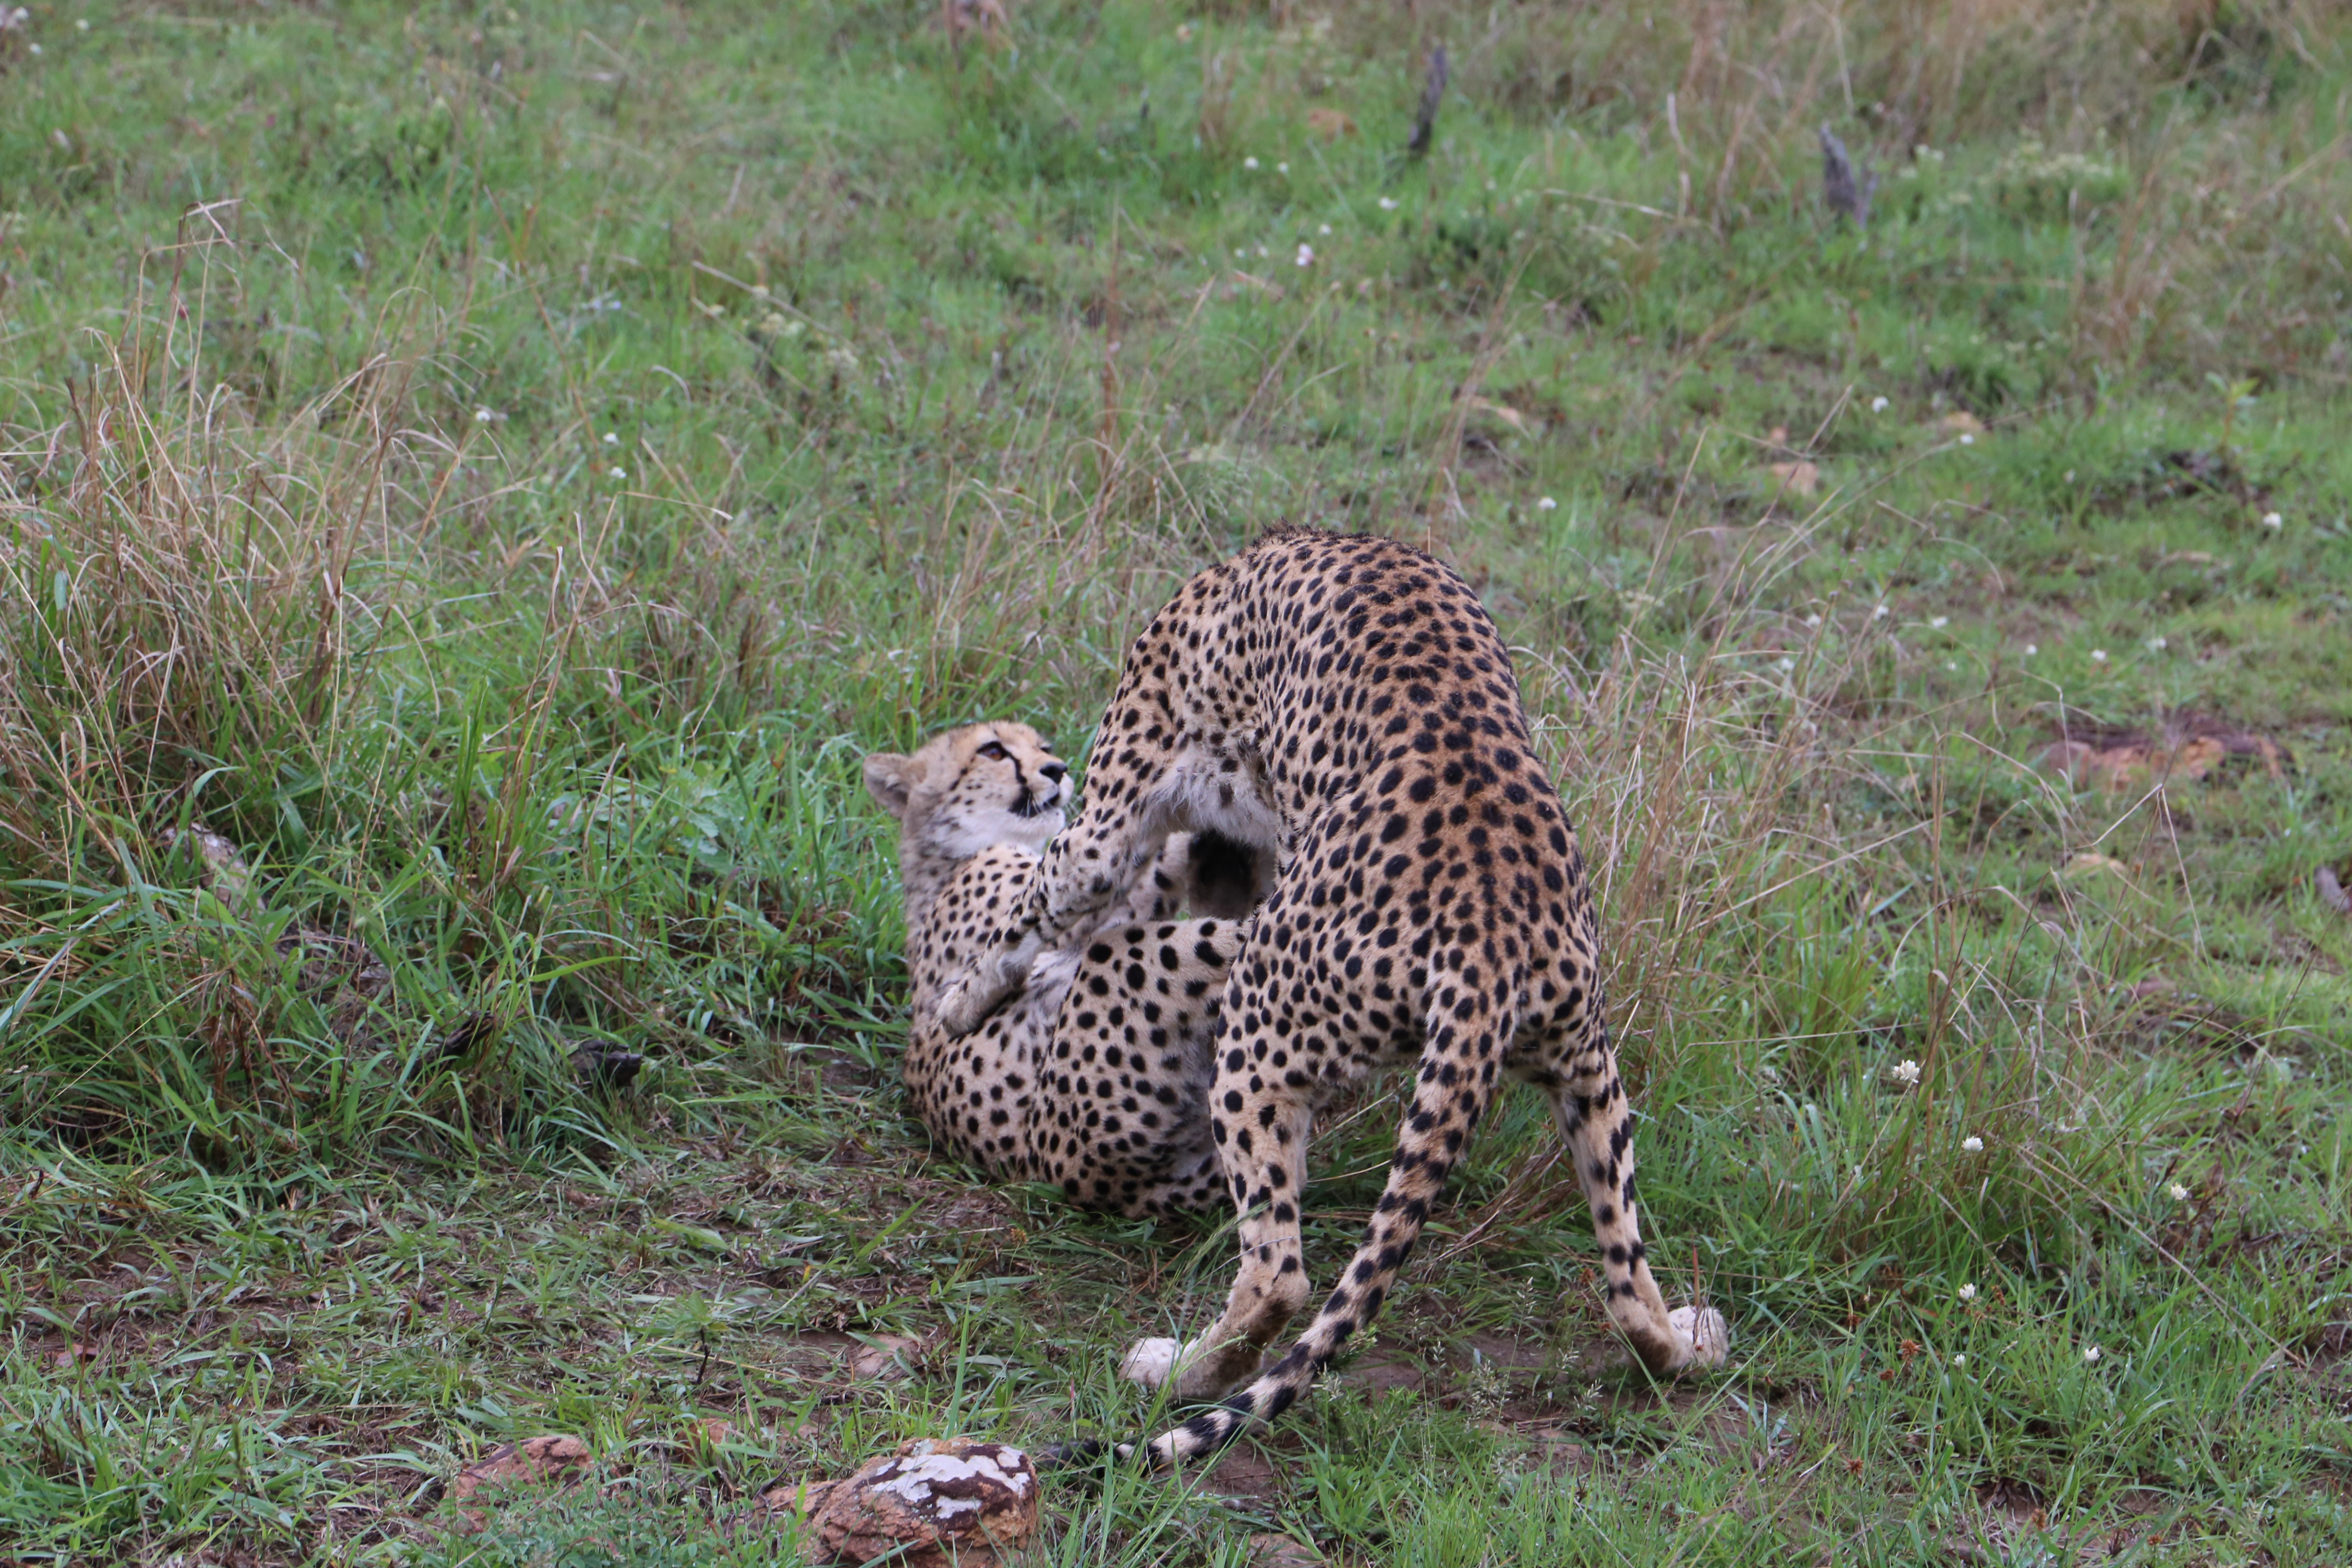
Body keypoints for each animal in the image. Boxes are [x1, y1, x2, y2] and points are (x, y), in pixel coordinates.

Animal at [864, 721, 1261, 1217]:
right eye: (993, 751)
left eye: (1043, 748)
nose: (1057, 769)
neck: (949, 857)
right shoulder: (1061, 930)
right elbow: (1122, 877)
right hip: (1118, 979)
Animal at [932, 530, 1729, 1469]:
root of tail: (1490, 945)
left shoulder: (1115, 814)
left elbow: (1048, 901)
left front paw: (961, 999)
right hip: (1588, 1072)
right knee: (1625, 1278)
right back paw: (1686, 1343)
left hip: (1257, 1039)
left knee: (1280, 1275)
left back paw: (1180, 1370)